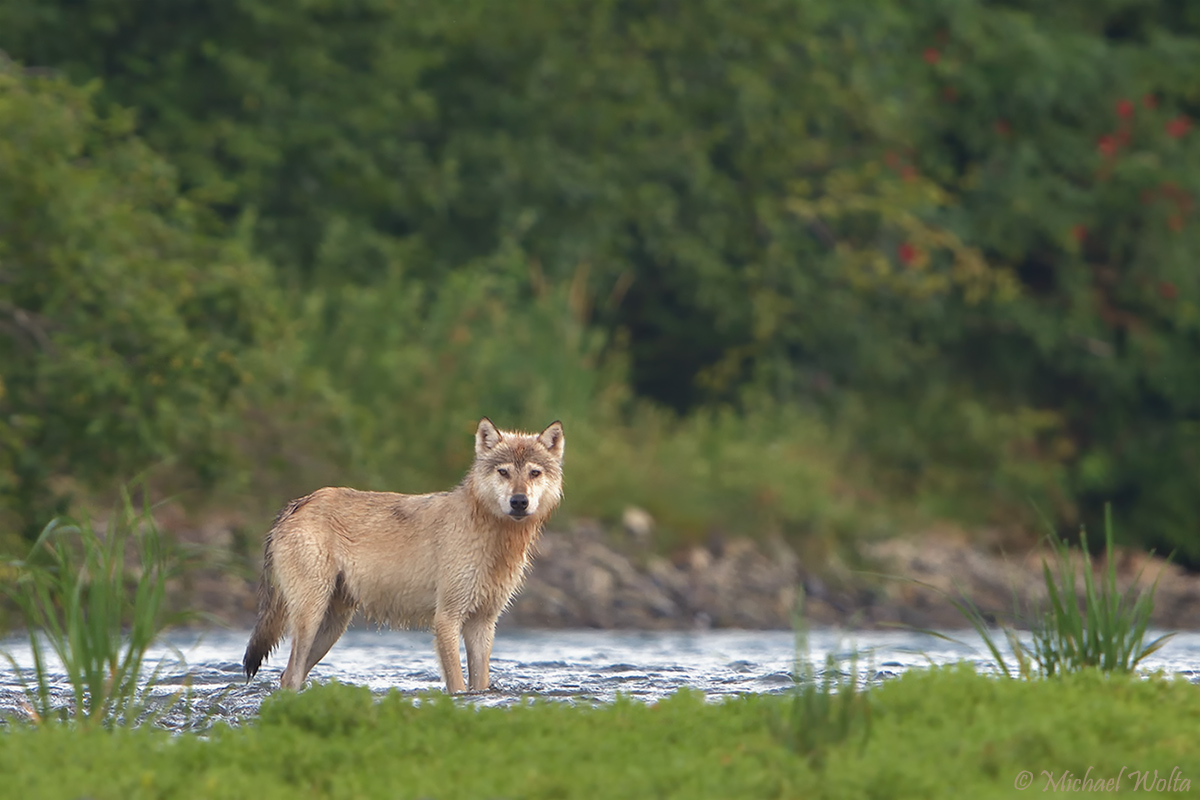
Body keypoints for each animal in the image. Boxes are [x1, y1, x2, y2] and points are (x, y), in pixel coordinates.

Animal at [243, 419, 566, 695]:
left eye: (534, 473)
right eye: (504, 472)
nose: (519, 501)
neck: (494, 537)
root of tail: (296, 505)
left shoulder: (483, 624)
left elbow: (479, 683)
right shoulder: (446, 618)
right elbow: (457, 685)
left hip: (331, 627)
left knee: (290, 676)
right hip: (311, 617)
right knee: (290, 675)